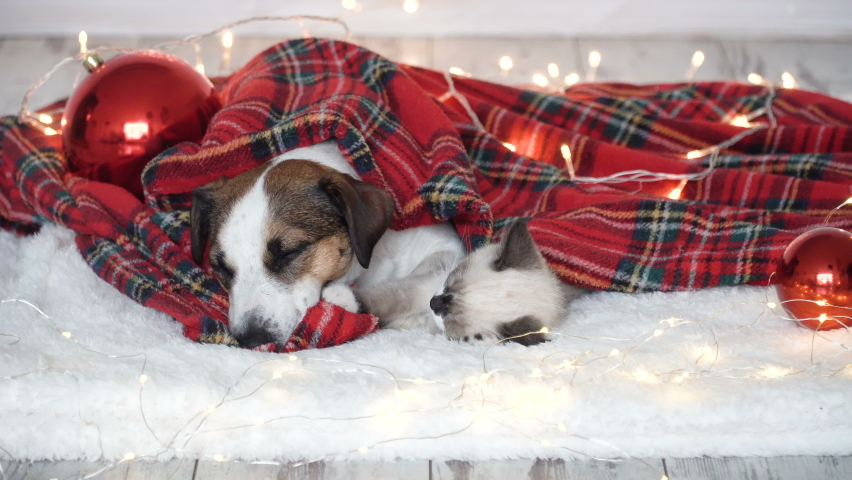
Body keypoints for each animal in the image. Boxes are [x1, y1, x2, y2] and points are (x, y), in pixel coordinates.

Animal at [354, 219, 584, 346]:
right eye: (451, 280)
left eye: (452, 320)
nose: (433, 303)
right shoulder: (424, 285)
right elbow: (375, 300)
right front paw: (346, 303)